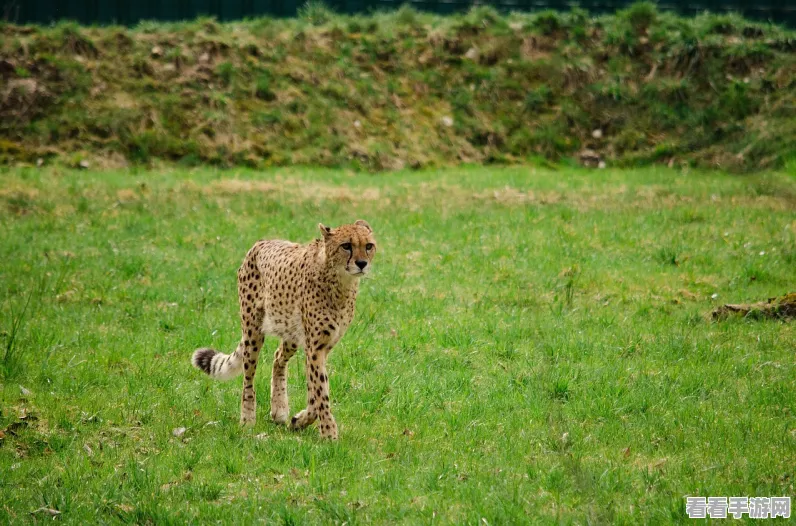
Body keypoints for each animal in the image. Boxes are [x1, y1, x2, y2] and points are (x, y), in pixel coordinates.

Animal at [194, 220, 380, 442]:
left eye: (368, 246)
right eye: (346, 246)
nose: (362, 263)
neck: (340, 281)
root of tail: (261, 242)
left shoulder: (322, 347)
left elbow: (315, 394)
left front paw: (299, 420)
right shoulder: (315, 348)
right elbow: (320, 393)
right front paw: (329, 434)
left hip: (291, 334)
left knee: (277, 358)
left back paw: (279, 409)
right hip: (253, 331)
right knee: (249, 377)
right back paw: (247, 419)